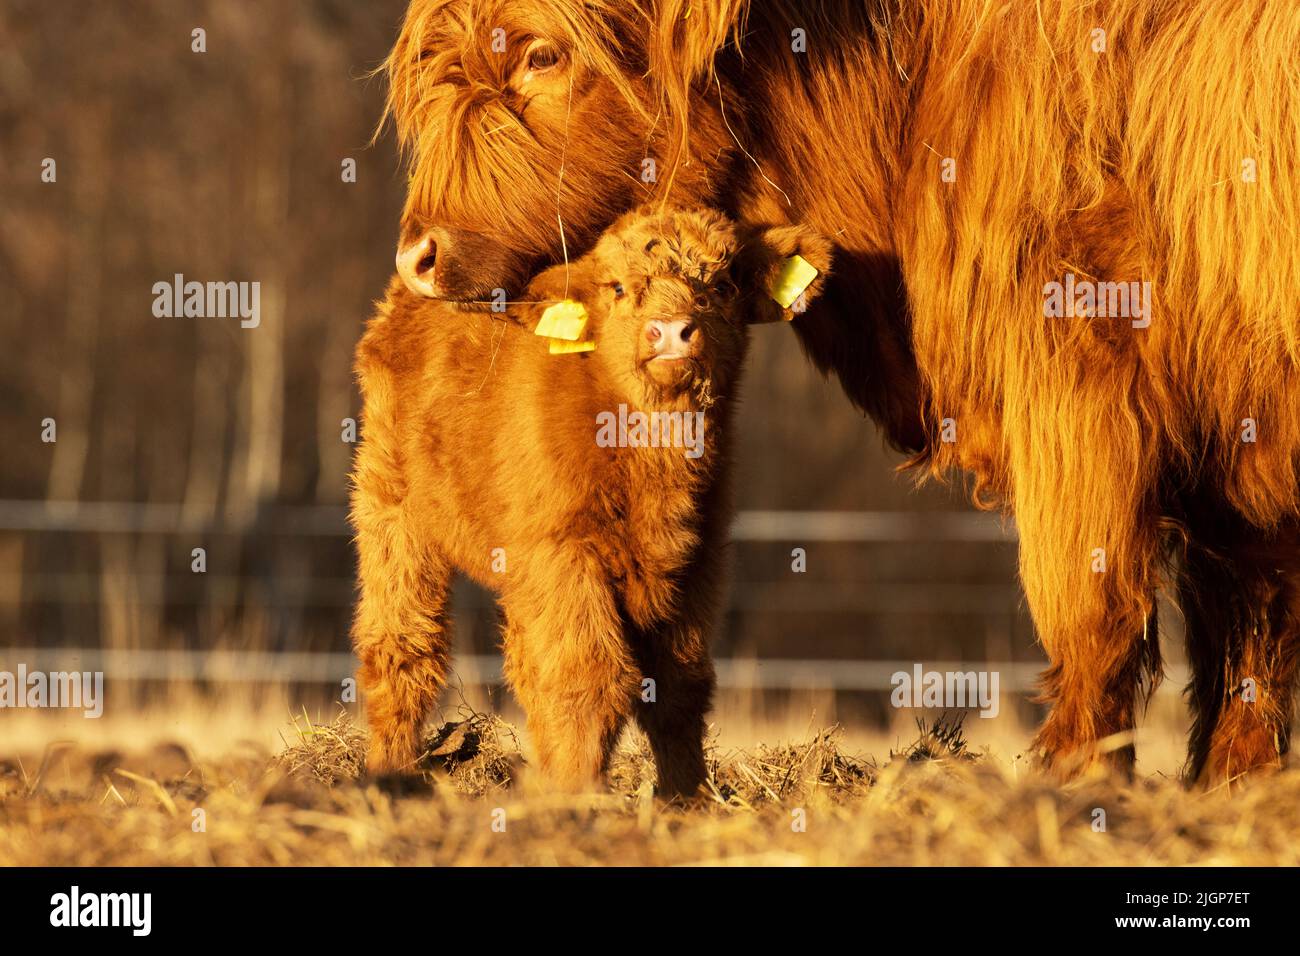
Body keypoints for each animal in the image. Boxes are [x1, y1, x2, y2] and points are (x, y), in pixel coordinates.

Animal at [351, 204, 826, 790]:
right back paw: (389, 775)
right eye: (618, 288)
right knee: (404, 650)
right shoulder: (564, 555)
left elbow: (679, 687)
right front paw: (578, 794)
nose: (671, 332)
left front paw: (686, 796)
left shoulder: (699, 562)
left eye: (722, 285)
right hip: (393, 518)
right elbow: (590, 678)